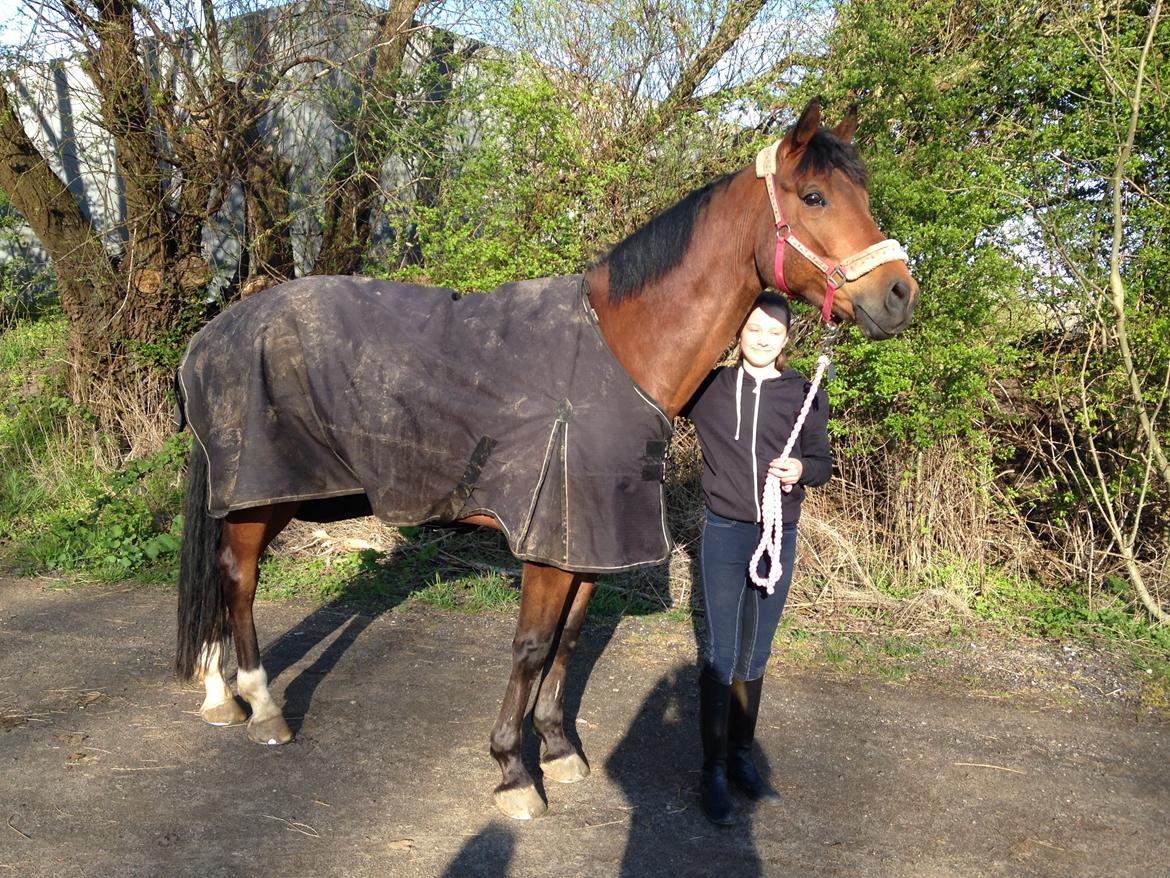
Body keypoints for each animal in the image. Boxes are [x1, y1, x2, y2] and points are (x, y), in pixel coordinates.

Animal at [175, 99, 921, 824]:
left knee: (222, 574)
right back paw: (261, 707)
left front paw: (559, 750)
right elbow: (532, 646)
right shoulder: (548, 541)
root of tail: (212, 335)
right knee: (238, 578)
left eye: (863, 192)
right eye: (815, 196)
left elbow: (568, 639)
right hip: (262, 496)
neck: (619, 350)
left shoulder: (589, 541)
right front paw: (512, 771)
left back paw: (218, 696)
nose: (898, 294)